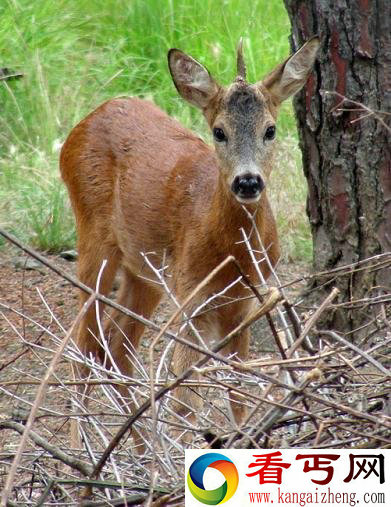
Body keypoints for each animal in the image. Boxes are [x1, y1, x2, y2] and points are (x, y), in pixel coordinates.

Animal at [60, 36, 318, 448]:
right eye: (219, 131)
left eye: (271, 130)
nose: (248, 182)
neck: (232, 254)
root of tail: (83, 123)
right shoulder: (190, 294)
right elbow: (185, 400)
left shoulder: (248, 301)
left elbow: (239, 385)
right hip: (95, 239)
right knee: (82, 347)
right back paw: (83, 450)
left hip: (145, 271)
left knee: (116, 346)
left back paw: (139, 448)